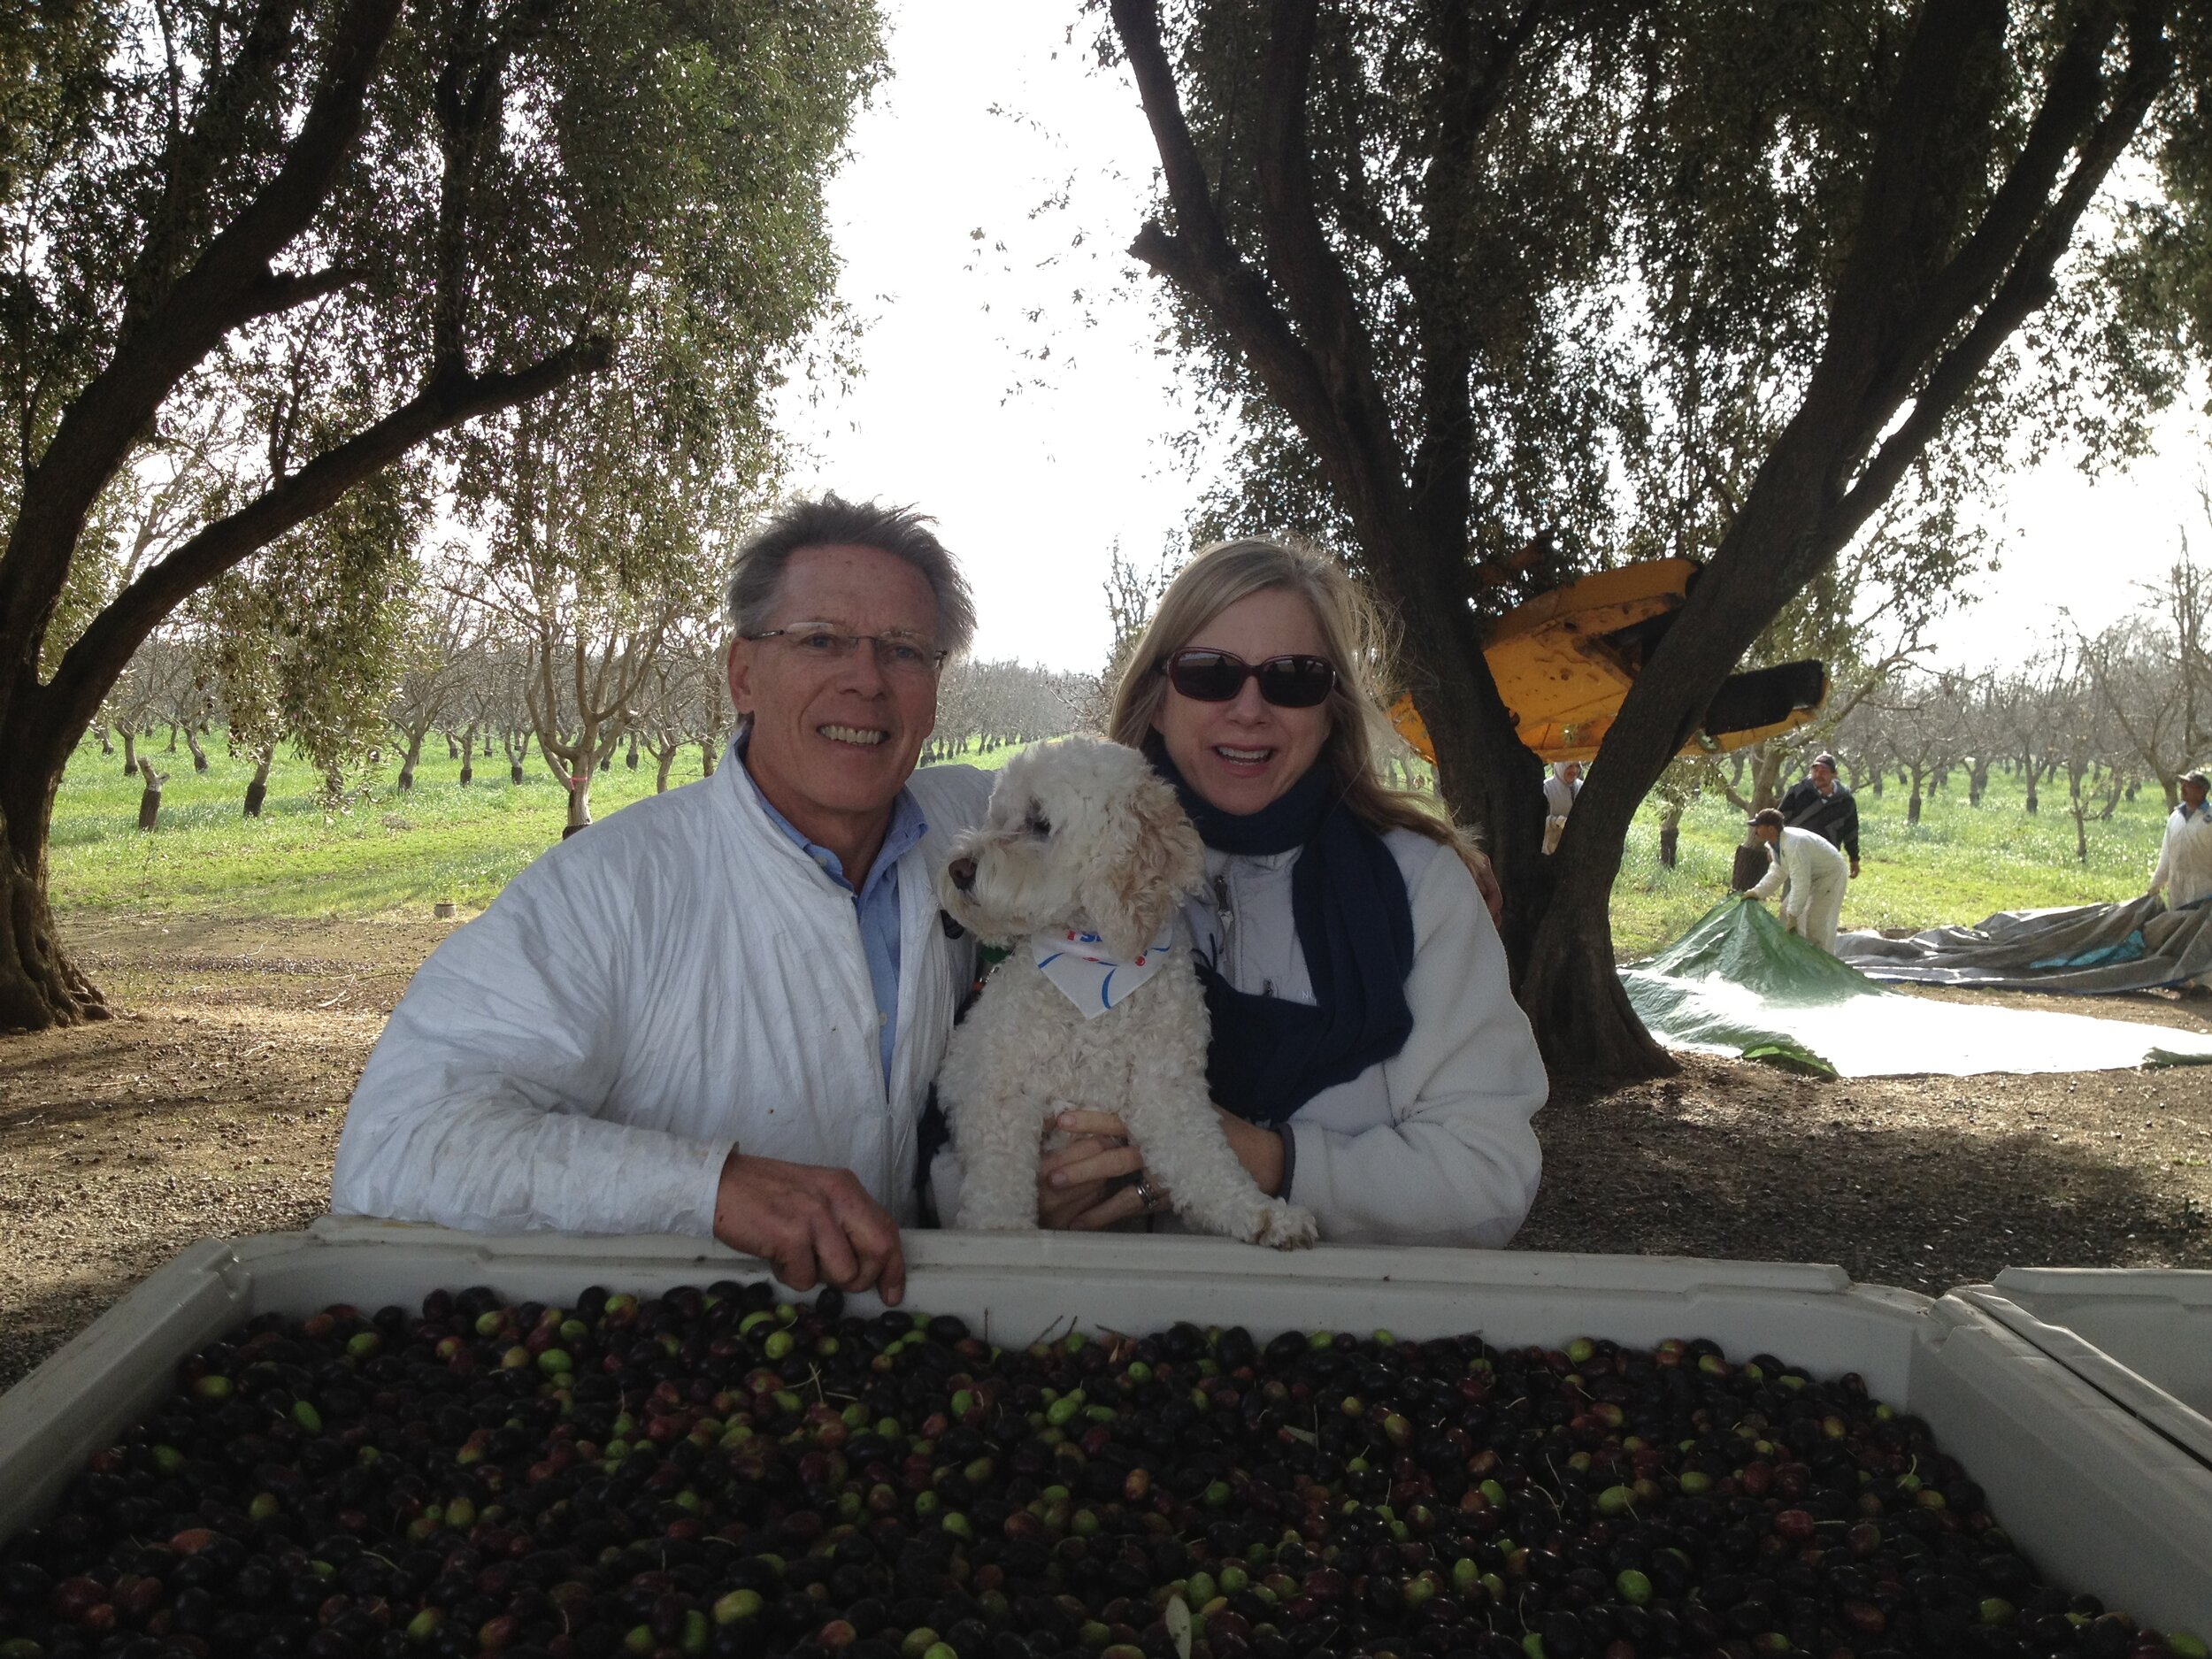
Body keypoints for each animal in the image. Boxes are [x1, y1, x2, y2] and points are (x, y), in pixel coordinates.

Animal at [933, 739, 1310, 1248]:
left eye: (1040, 823)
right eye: (998, 817)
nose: (958, 869)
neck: (1097, 980)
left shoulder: (1168, 1091)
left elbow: (1205, 1163)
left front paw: (1262, 1213)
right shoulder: (999, 1093)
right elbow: (998, 1182)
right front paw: (1000, 1234)